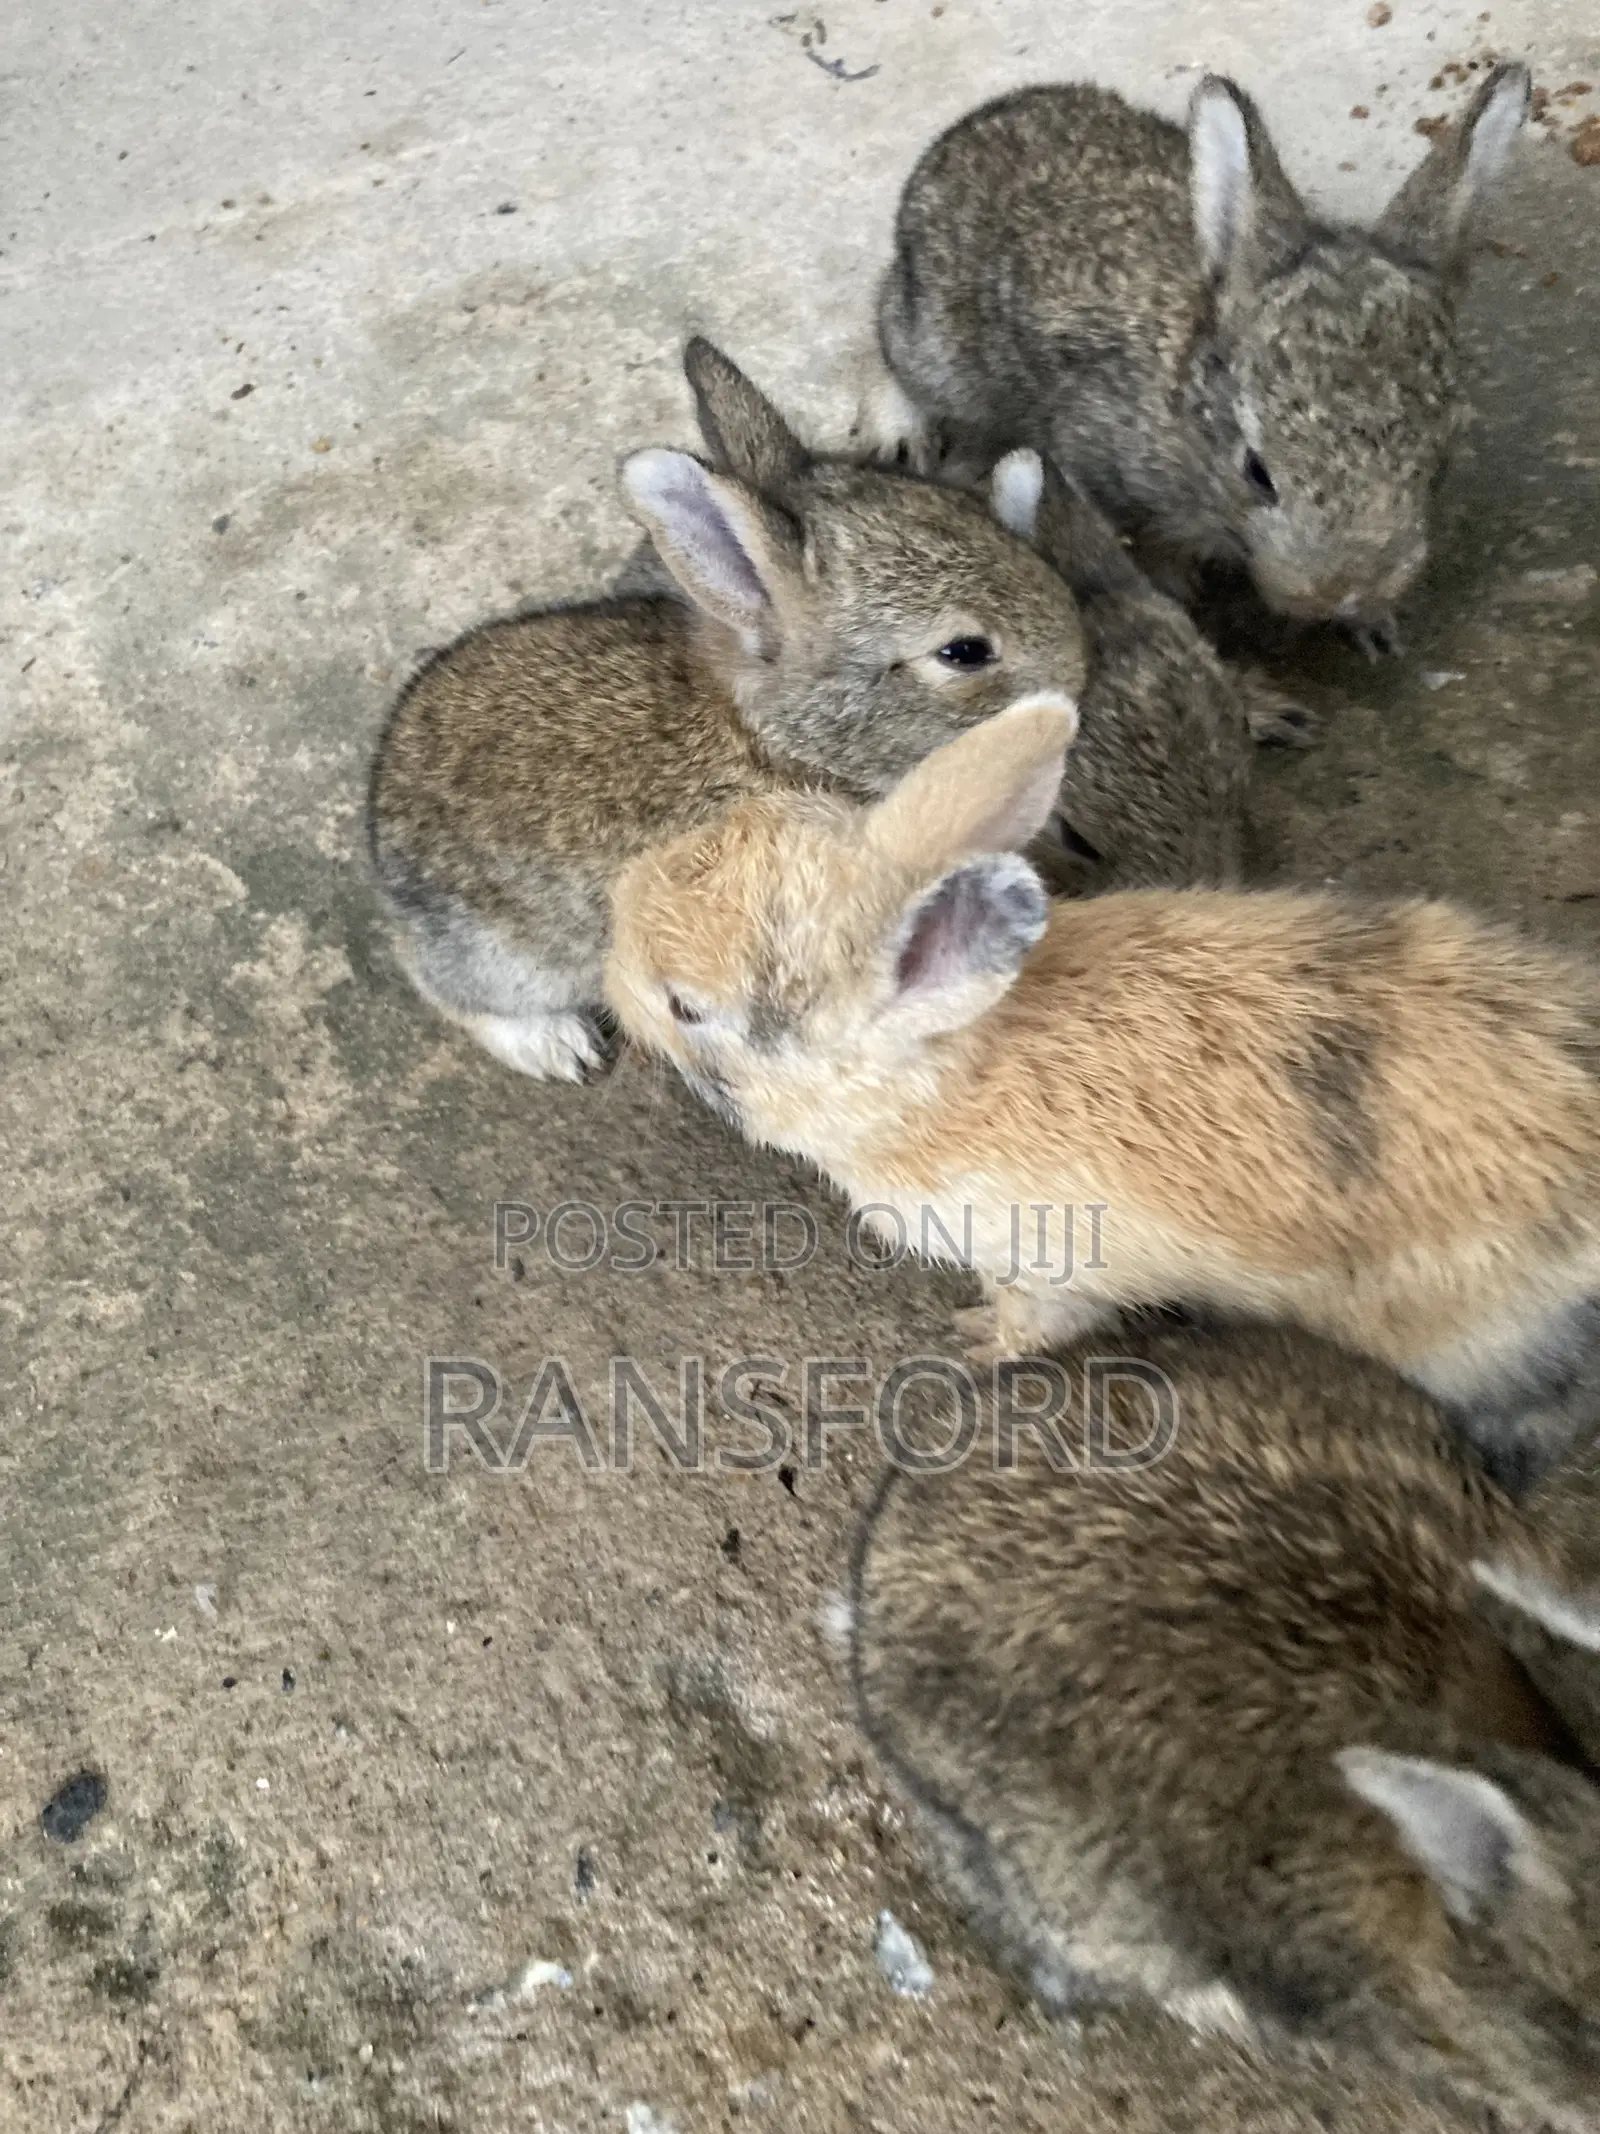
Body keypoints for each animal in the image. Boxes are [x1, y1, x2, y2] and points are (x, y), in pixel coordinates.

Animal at [365, 339, 1092, 1082]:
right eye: (965, 652)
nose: (1078, 672)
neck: (780, 742)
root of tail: (383, 836)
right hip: (509, 958)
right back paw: (554, 1046)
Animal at [605, 697, 1600, 1487]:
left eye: (686, 1006)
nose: (611, 963)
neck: (950, 1070)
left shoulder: (1048, 1268)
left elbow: (1031, 1323)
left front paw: (975, 1340)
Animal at [875, 64, 1532, 652]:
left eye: (1438, 468)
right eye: (1257, 473)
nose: (1341, 591)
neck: (1185, 408)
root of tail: (976, 123)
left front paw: (1374, 627)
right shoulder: (1108, 474)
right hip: (935, 350)